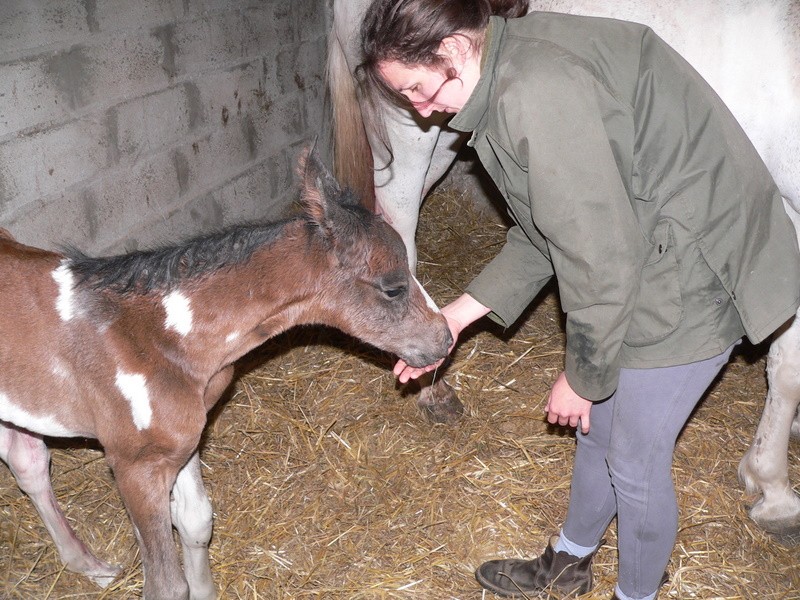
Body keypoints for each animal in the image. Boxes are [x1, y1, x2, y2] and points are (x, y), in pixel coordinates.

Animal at [0, 148, 454, 596]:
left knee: (29, 464)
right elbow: (166, 584)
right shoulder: (135, 466)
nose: (445, 338)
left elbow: (196, 522)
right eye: (392, 287)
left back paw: (89, 566)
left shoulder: (185, 442)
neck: (161, 340)